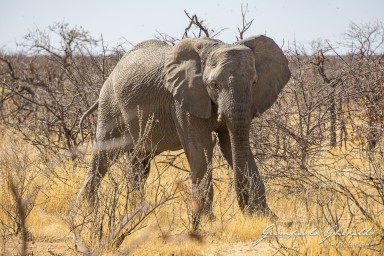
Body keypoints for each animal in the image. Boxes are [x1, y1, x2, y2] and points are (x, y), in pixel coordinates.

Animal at [76, 34, 290, 228]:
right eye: (214, 85)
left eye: (254, 83)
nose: (248, 210)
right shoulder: (182, 99)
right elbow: (200, 149)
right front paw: (207, 221)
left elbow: (232, 144)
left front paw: (268, 217)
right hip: (110, 103)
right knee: (104, 154)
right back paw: (87, 211)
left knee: (140, 163)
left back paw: (135, 211)